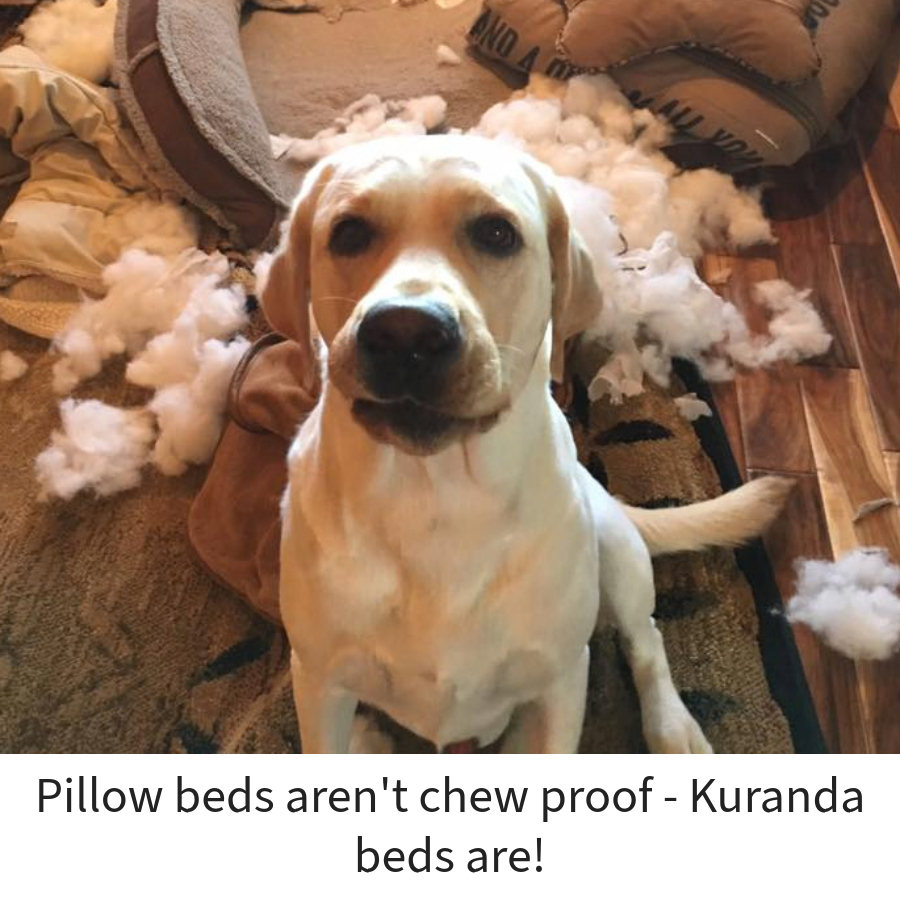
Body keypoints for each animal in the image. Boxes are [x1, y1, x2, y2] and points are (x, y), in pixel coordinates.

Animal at [264, 134, 792, 752]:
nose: (406, 333)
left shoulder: (560, 682)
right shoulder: (320, 682)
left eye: (496, 233)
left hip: (616, 551)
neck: (438, 501)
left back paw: (673, 727)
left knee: (646, 639)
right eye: (348, 233)